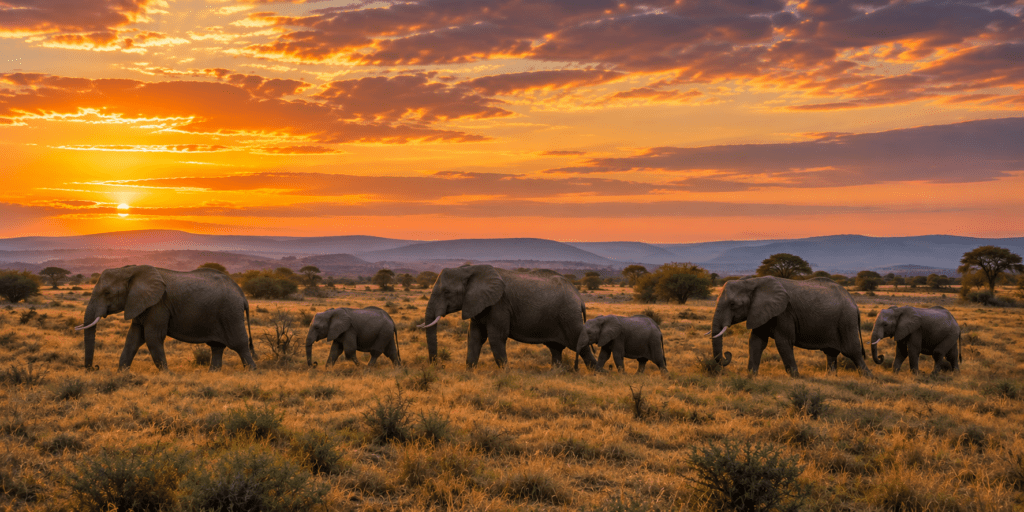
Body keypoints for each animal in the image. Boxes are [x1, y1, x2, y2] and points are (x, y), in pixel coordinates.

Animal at [74, 265, 256, 371]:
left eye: (107, 293)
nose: (94, 367)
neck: (131, 270)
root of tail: (242, 295)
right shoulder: (141, 303)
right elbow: (133, 337)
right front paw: (122, 373)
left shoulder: (159, 304)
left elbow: (152, 337)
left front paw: (166, 374)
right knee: (217, 346)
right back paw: (213, 373)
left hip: (230, 312)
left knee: (240, 344)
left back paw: (251, 372)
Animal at [419, 265, 596, 369]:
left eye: (446, 292)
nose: (436, 364)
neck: (470, 269)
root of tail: (579, 298)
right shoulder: (477, 303)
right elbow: (474, 336)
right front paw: (469, 371)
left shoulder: (499, 304)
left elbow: (496, 337)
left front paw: (505, 372)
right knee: (555, 348)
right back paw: (556, 372)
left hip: (569, 315)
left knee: (580, 344)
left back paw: (596, 372)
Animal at [708, 276, 876, 377]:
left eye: (732, 304)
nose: (728, 354)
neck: (752, 281)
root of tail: (854, 303)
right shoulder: (760, 311)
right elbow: (756, 342)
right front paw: (751, 376)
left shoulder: (784, 313)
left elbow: (783, 342)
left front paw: (796, 377)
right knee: (831, 353)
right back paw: (831, 378)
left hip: (846, 320)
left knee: (853, 352)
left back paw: (869, 378)